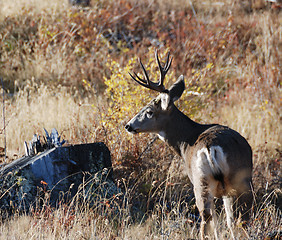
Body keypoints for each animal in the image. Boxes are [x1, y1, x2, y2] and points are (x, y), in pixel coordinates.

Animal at [124, 50, 252, 238]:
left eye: (149, 111)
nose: (128, 126)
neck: (186, 140)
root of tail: (211, 148)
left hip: (201, 181)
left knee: (206, 218)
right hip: (237, 180)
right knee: (236, 219)